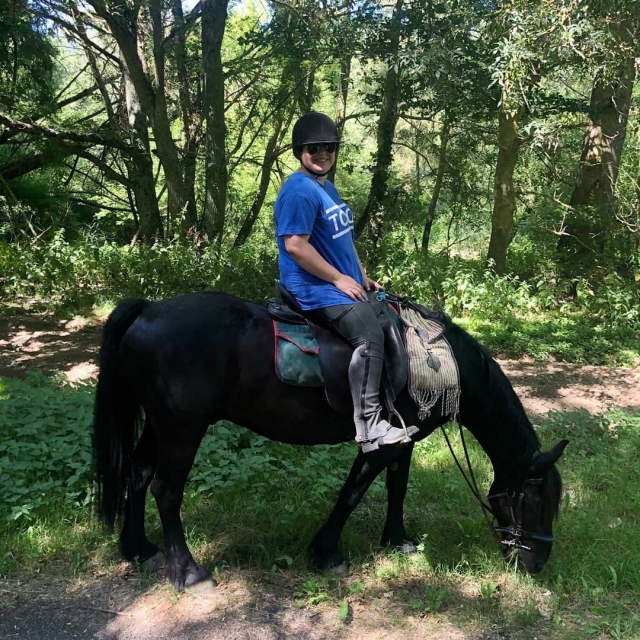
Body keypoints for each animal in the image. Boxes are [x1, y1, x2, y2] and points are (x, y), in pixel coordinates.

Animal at [93, 291, 568, 592]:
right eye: (534, 500)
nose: (539, 563)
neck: (435, 362)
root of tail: (147, 311)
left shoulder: (406, 442)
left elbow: (397, 488)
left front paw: (397, 540)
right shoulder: (383, 443)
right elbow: (352, 493)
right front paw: (326, 553)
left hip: (159, 425)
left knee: (138, 473)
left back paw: (138, 549)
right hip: (182, 428)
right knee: (166, 490)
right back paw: (189, 573)